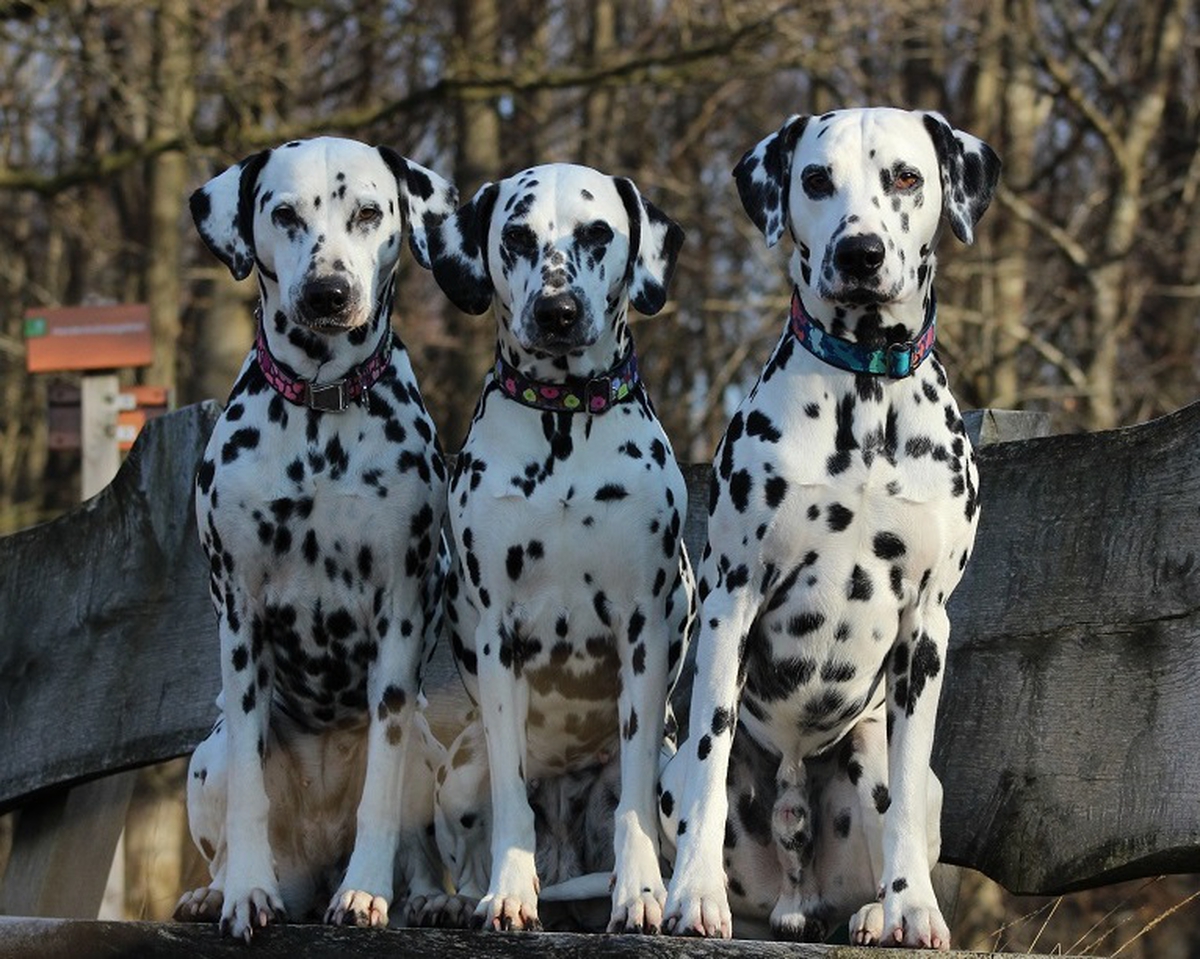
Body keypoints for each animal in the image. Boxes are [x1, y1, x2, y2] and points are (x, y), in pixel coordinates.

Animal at [175, 138, 458, 940]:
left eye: (367, 212)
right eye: (284, 213)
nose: (328, 292)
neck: (320, 415)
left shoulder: (398, 616)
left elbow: (383, 793)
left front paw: (366, 893)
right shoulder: (241, 620)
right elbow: (249, 793)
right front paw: (244, 892)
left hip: (433, 750)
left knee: (420, 839)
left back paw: (425, 896)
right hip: (205, 754)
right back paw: (215, 889)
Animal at [427, 160, 700, 936]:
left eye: (598, 232)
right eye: (517, 236)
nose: (557, 311)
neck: (564, 422)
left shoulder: (643, 632)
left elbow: (632, 803)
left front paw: (639, 894)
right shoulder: (497, 638)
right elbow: (510, 798)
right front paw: (507, 892)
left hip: (673, 766)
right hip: (457, 774)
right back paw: (452, 897)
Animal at [662, 108, 998, 950]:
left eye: (906, 176)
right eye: (816, 179)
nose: (860, 252)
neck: (865, 391)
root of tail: (796, 894)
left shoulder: (927, 626)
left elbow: (904, 791)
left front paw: (914, 908)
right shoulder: (731, 600)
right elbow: (712, 756)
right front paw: (693, 897)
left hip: (875, 752)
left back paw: (879, 911)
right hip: (671, 771)